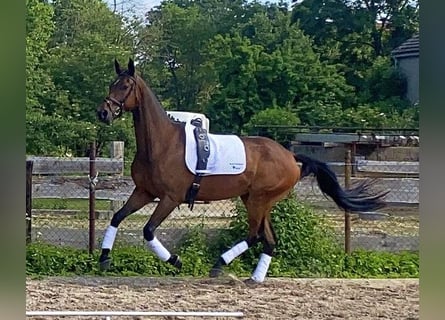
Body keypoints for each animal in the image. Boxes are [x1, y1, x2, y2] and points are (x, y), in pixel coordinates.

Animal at [96, 58, 386, 284]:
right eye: (111, 84)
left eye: (125, 86)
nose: (103, 113)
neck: (162, 143)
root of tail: (290, 156)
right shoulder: (144, 192)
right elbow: (117, 217)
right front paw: (104, 258)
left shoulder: (170, 198)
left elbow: (148, 230)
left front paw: (176, 261)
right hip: (256, 201)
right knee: (268, 239)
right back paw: (254, 278)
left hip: (259, 200)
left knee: (255, 235)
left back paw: (219, 265)